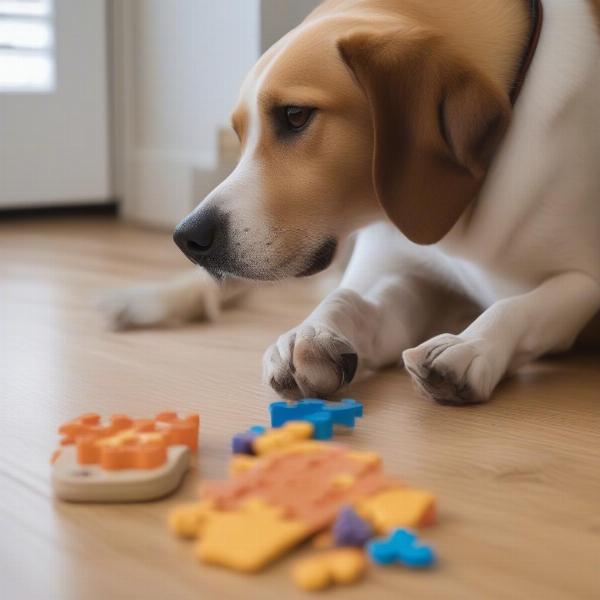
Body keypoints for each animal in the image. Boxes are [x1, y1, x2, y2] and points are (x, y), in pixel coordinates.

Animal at [104, 0, 600, 406]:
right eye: (239, 135)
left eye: (295, 115)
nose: (188, 238)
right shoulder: (414, 273)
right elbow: (349, 299)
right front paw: (311, 332)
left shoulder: (584, 281)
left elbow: (528, 305)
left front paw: (471, 346)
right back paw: (143, 300)